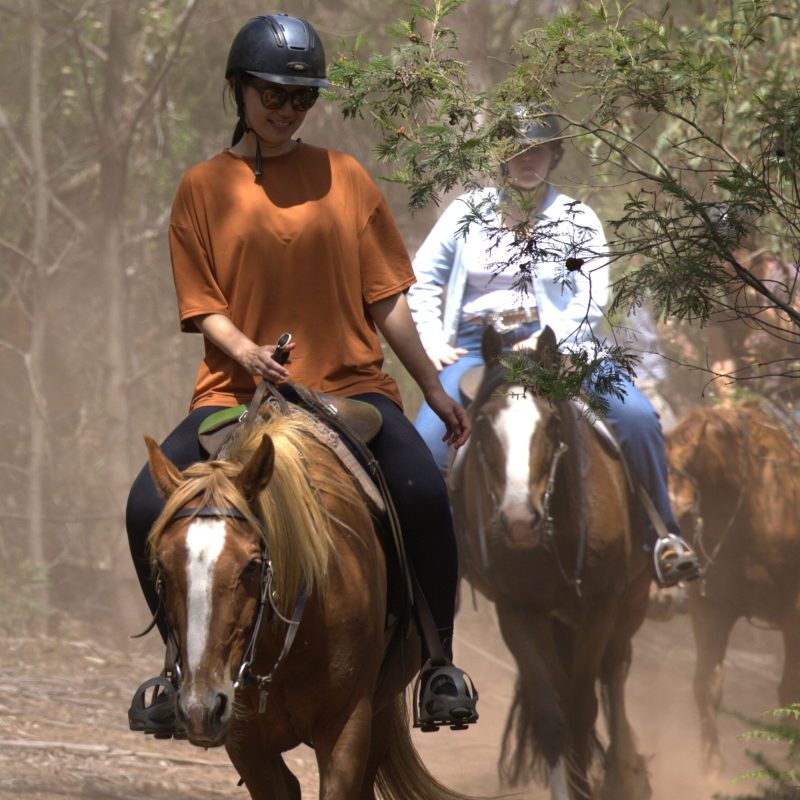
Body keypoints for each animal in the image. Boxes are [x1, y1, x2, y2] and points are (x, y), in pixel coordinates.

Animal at [449, 326, 652, 800]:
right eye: (483, 423)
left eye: (552, 422)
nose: (519, 520)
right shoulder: (517, 610)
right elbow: (551, 712)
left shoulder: (601, 603)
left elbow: (581, 706)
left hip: (632, 601)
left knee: (615, 670)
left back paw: (624, 771)